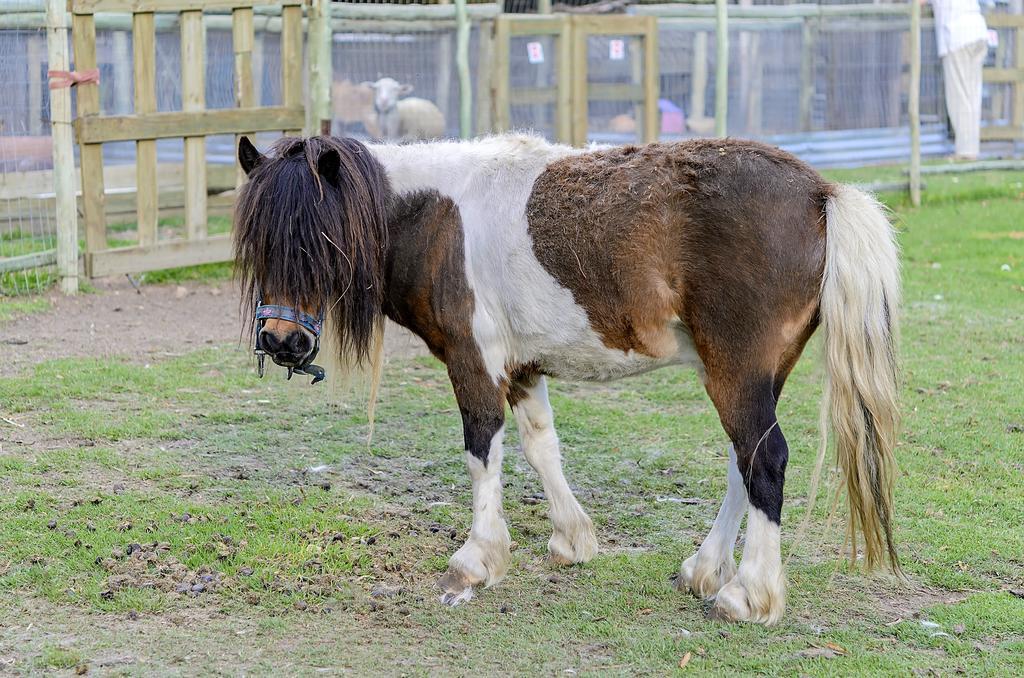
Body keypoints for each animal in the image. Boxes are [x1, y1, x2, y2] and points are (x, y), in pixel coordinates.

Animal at [230, 134, 897, 626]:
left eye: (319, 240)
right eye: (259, 242)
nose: (281, 341)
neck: (437, 216)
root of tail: (820, 192)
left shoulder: (473, 361)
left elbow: (482, 450)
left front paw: (478, 559)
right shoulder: (522, 368)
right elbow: (540, 446)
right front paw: (572, 540)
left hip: (738, 372)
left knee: (766, 460)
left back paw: (748, 594)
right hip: (752, 376)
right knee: (745, 460)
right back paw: (704, 569)